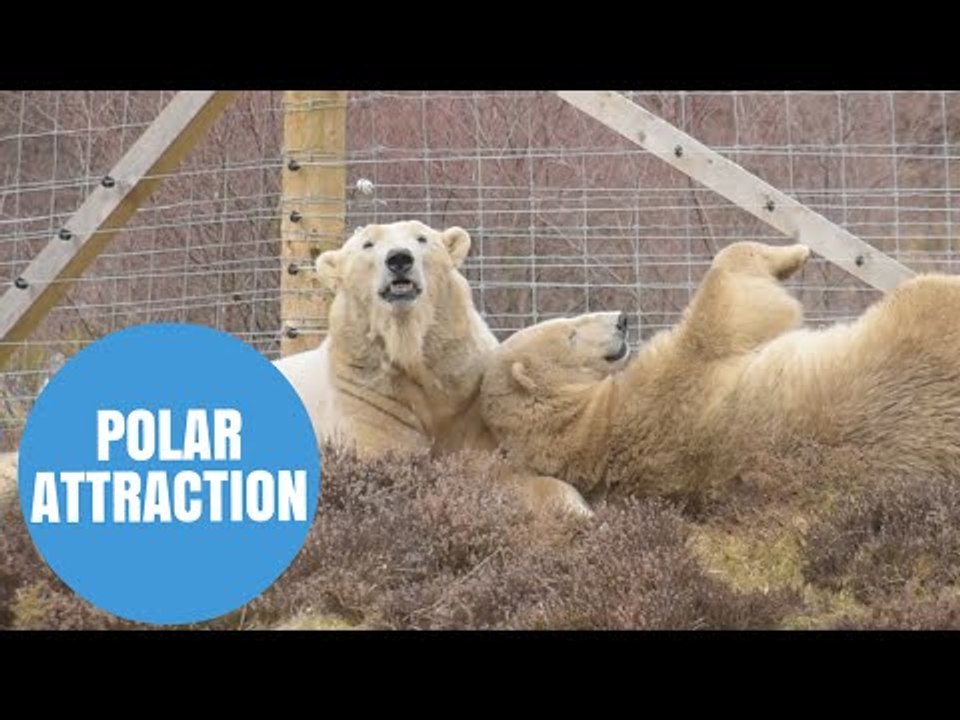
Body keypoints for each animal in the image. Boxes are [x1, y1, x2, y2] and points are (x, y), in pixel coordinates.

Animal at [479, 240, 960, 508]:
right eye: (572, 331)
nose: (622, 319)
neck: (588, 430)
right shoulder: (676, 372)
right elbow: (735, 299)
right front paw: (796, 253)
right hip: (915, 320)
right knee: (930, 289)